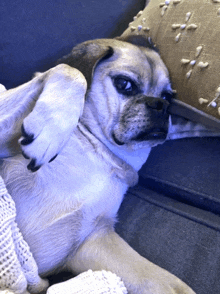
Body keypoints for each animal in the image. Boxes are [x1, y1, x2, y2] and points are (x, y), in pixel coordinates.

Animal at [0, 36, 196, 294]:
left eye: (167, 97)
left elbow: (166, 281)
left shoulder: (93, 241)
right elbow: (70, 72)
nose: (161, 106)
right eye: (124, 84)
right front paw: (49, 132)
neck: (101, 153)